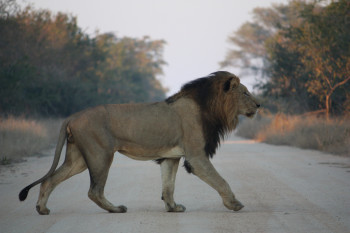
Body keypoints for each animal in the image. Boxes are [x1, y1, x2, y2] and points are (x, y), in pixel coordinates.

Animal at [19, 71, 260, 215]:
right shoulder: (196, 156)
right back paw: (116, 209)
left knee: (49, 180)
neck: (211, 107)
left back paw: (42, 209)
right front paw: (234, 204)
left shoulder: (171, 157)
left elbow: (168, 185)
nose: (259, 105)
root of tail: (72, 116)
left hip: (78, 159)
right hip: (101, 155)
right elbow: (221, 180)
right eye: (245, 93)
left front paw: (173, 207)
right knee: (94, 191)